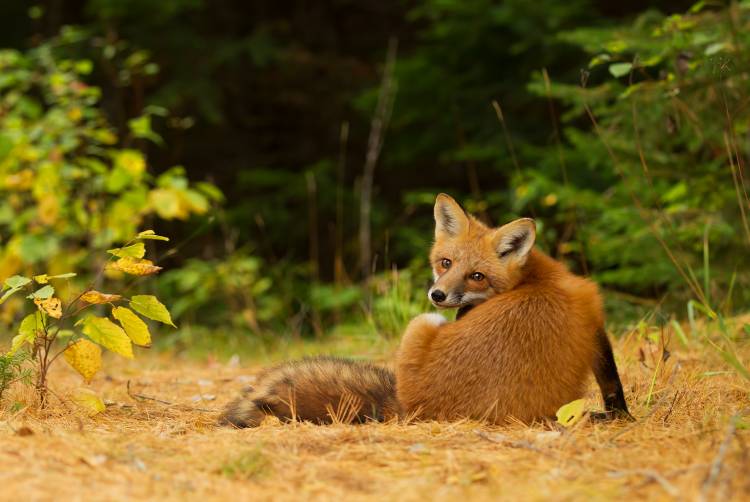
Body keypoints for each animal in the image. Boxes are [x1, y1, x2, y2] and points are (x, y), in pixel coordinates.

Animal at [220, 193, 632, 428]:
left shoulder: (592, 315)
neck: (536, 277)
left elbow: (611, 381)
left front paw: (619, 416)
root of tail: (412, 407)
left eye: (477, 275)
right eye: (445, 262)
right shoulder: (593, 319)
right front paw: (620, 417)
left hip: (422, 323)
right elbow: (611, 380)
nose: (438, 294)